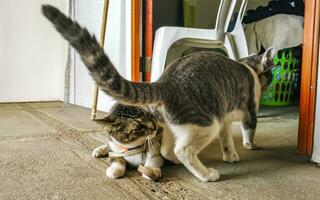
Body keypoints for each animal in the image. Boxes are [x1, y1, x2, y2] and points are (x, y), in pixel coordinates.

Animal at [43, 5, 276, 182]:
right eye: (270, 75)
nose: (272, 80)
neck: (247, 67)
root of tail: (165, 83)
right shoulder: (248, 112)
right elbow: (249, 130)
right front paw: (251, 146)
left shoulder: (224, 121)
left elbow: (226, 138)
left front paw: (231, 155)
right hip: (206, 123)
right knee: (183, 150)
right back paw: (206, 174)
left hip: (168, 124)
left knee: (164, 148)